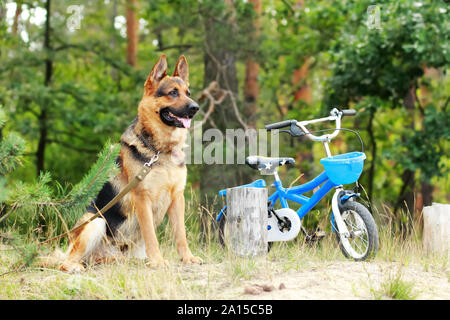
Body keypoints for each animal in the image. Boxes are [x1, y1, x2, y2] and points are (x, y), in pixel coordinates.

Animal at [59, 55, 203, 272]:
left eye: (188, 93)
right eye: (172, 93)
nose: (195, 108)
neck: (160, 151)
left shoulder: (177, 198)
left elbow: (181, 234)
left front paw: (188, 258)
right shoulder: (143, 199)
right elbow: (151, 235)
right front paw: (158, 261)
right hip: (96, 222)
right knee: (65, 262)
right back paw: (75, 266)